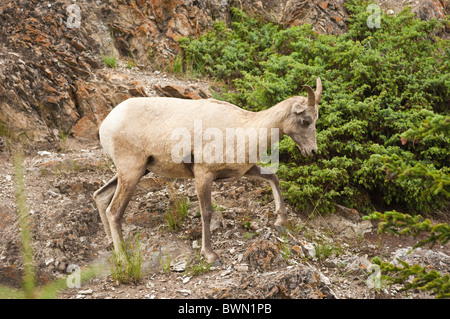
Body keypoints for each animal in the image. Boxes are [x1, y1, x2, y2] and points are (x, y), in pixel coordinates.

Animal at [93, 78, 322, 264]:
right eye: (305, 121)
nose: (312, 151)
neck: (245, 129)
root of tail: (106, 124)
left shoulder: (245, 171)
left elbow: (273, 178)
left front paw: (280, 221)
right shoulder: (203, 175)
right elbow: (206, 212)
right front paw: (211, 255)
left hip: (137, 171)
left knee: (100, 196)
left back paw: (111, 245)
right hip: (131, 172)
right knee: (114, 211)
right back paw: (124, 258)